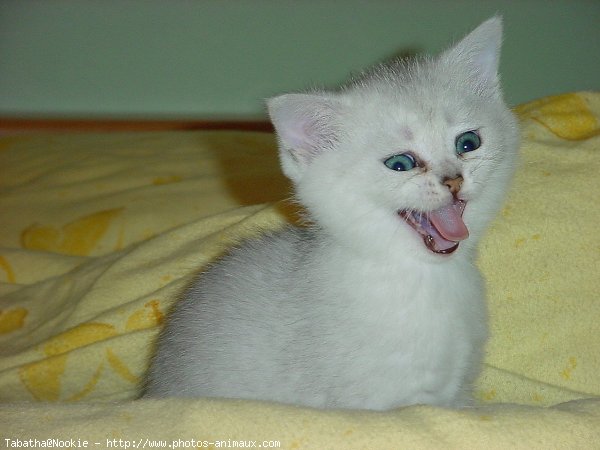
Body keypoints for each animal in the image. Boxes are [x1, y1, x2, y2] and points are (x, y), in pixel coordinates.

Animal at [144, 17, 520, 412]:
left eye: (468, 143)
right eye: (400, 164)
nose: (453, 179)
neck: (426, 277)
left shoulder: (458, 387)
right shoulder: (380, 401)